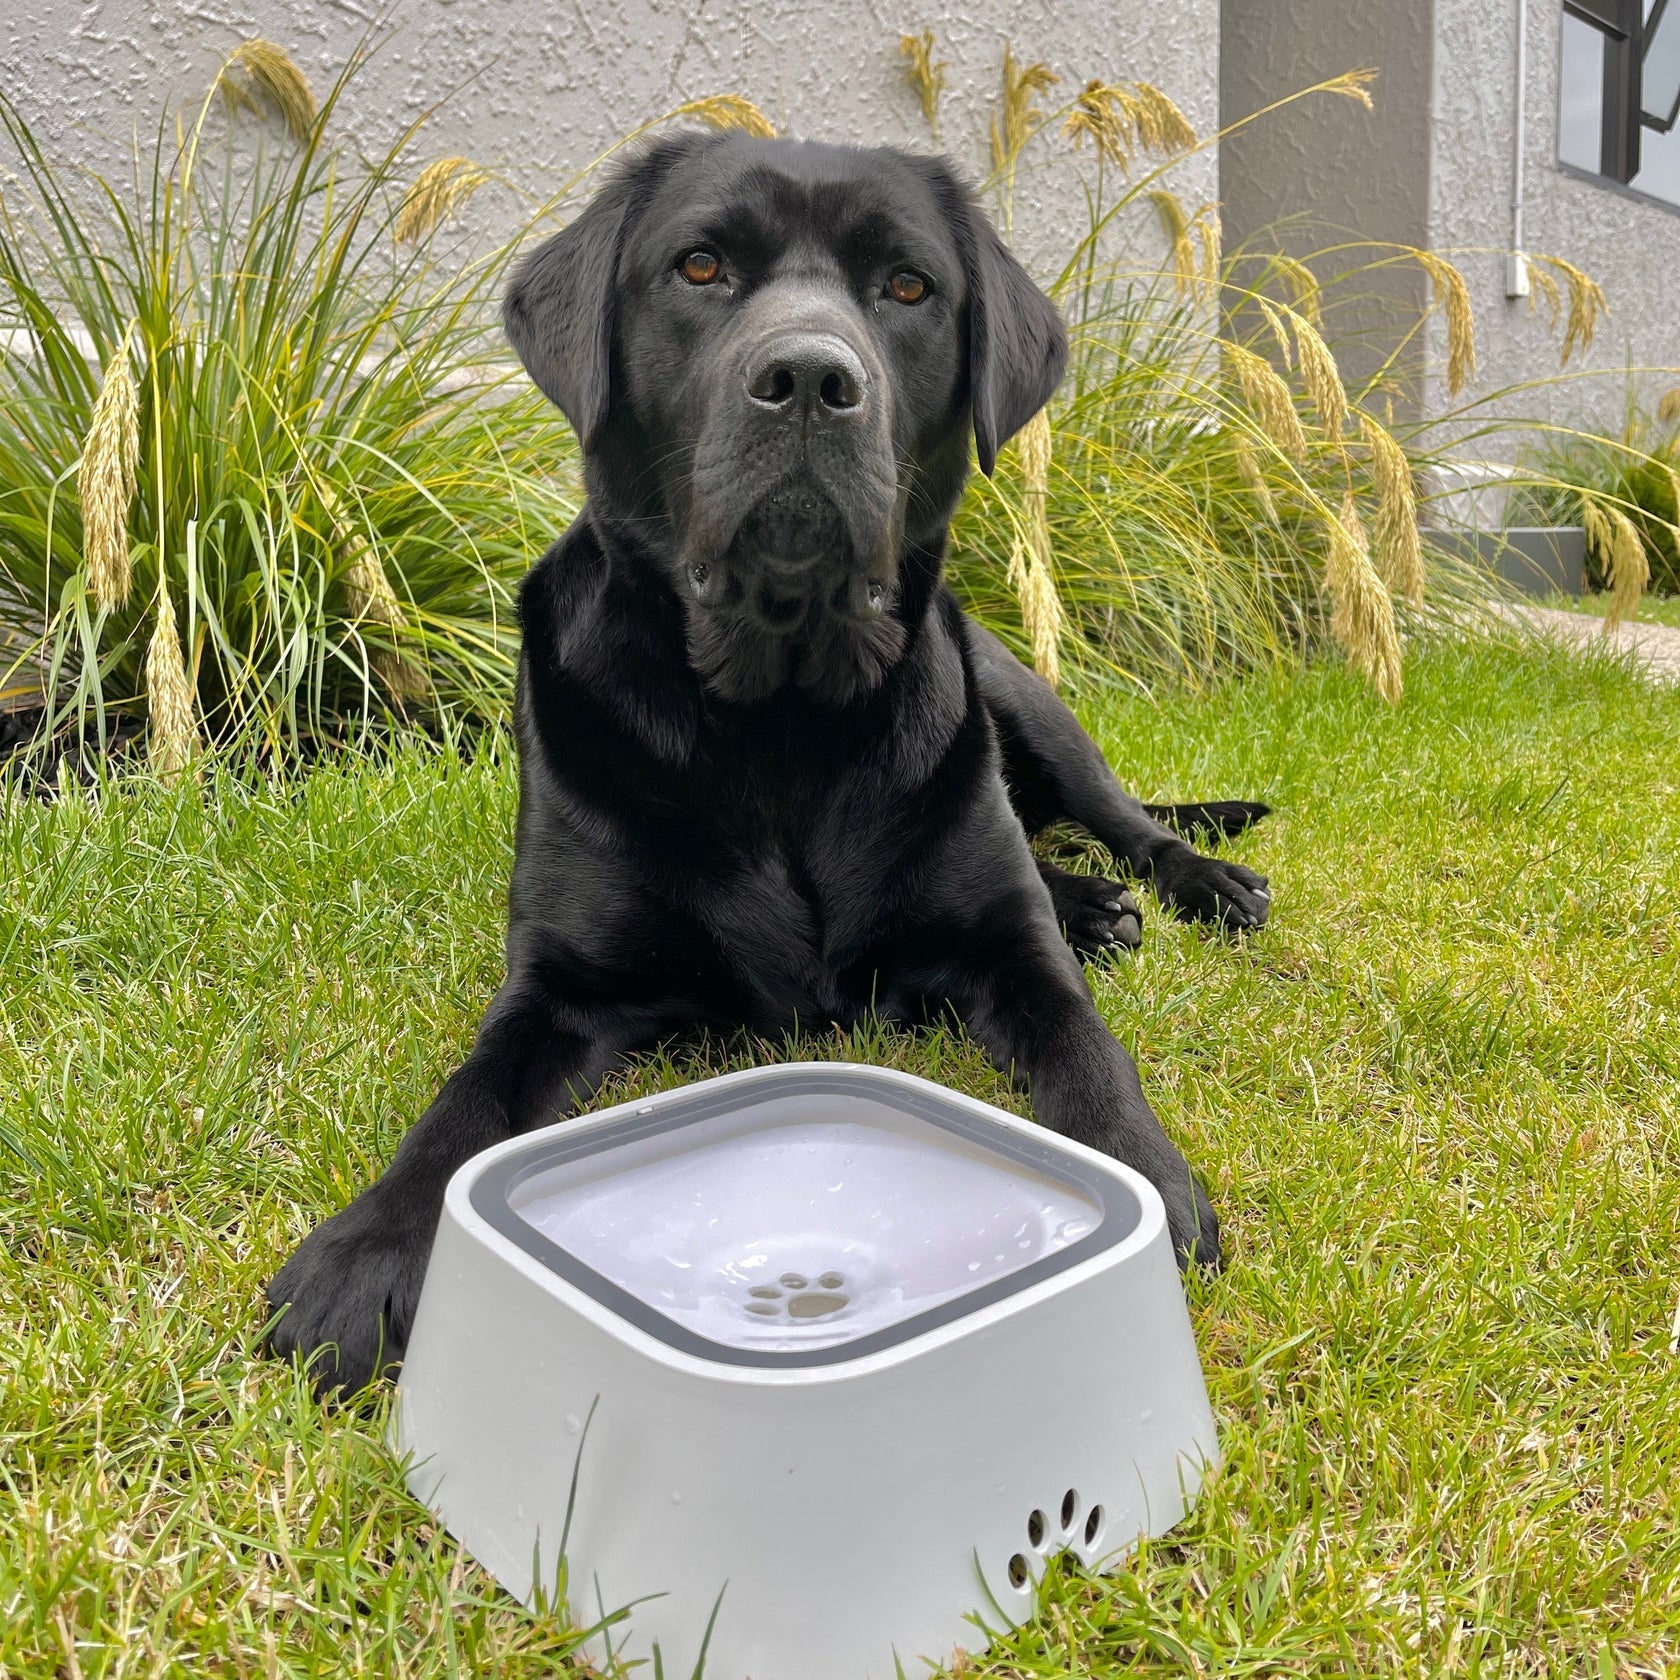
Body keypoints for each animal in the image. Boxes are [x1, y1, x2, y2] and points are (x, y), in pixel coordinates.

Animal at [268, 131, 1263, 1397]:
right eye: (700, 267)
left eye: (906, 287)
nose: (808, 379)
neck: (779, 715)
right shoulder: (557, 985)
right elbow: (463, 1103)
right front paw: (368, 1250)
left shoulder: (1010, 950)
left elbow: (1087, 1047)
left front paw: (1142, 1170)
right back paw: (1093, 902)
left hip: (1023, 698)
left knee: (1122, 817)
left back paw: (1187, 883)